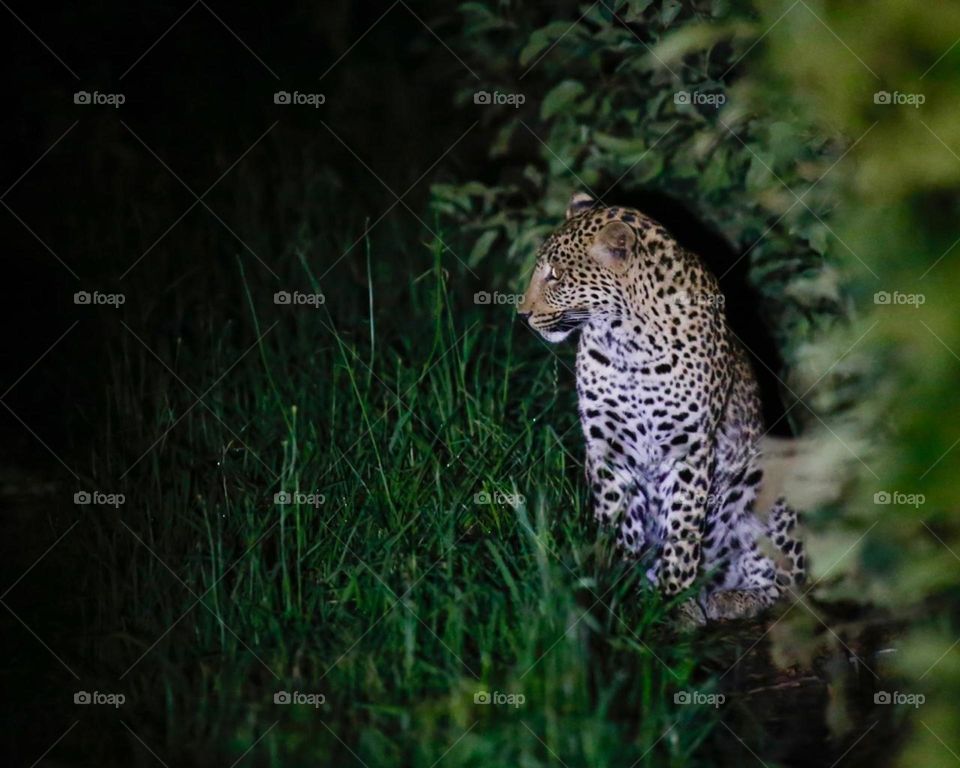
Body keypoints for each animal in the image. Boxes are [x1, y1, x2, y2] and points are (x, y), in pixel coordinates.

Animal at [517, 192, 805, 623]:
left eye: (556, 276)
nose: (522, 314)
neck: (625, 341)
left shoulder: (689, 448)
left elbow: (681, 531)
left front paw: (672, 602)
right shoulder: (608, 445)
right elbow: (617, 518)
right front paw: (618, 587)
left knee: (789, 585)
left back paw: (733, 598)